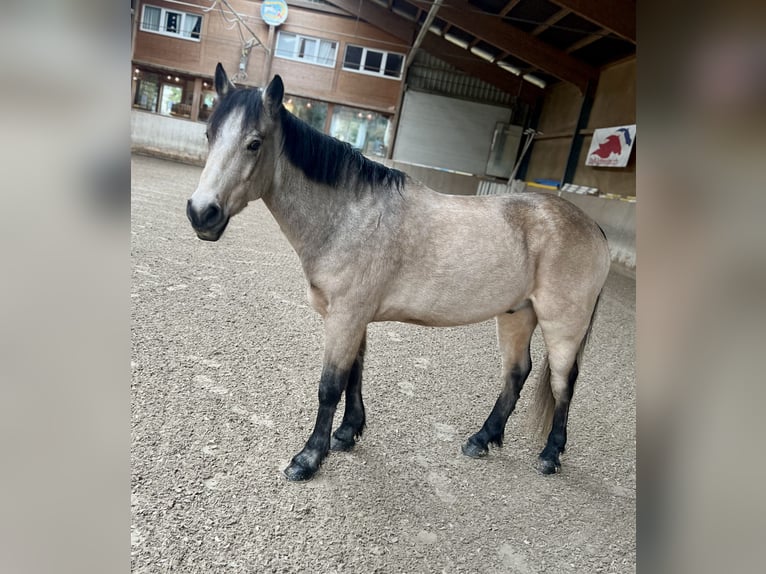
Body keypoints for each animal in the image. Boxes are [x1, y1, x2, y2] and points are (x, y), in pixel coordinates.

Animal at [186, 63, 611, 481]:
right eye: (208, 134)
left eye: (254, 143)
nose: (201, 213)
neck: (350, 215)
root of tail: (593, 227)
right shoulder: (354, 319)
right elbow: (354, 374)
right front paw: (347, 433)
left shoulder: (345, 317)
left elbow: (330, 386)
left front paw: (309, 458)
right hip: (517, 314)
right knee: (517, 374)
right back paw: (482, 439)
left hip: (561, 326)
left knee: (562, 383)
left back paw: (550, 455)